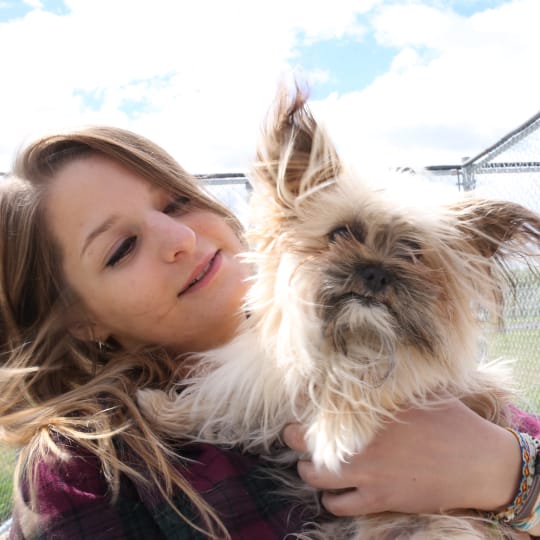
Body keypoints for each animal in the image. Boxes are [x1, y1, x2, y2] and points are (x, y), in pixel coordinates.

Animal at [139, 90, 540, 536]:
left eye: (413, 253)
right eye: (342, 233)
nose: (376, 271)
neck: (353, 337)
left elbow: (367, 379)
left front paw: (337, 431)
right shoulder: (265, 380)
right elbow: (221, 399)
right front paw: (160, 409)